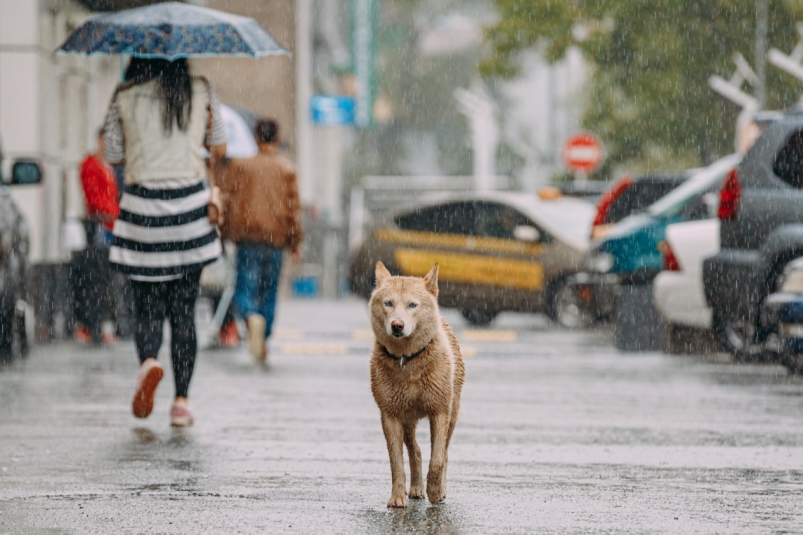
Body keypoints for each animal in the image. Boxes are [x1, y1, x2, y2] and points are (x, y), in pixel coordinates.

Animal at [370, 262, 464, 508]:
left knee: (444, 452)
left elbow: (438, 459)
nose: (397, 325)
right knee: (416, 451)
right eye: (388, 303)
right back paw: (415, 488)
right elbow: (396, 462)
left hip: (452, 413)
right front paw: (397, 497)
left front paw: (435, 491)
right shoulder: (390, 415)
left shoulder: (440, 412)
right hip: (407, 420)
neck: (407, 359)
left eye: (412, 305)